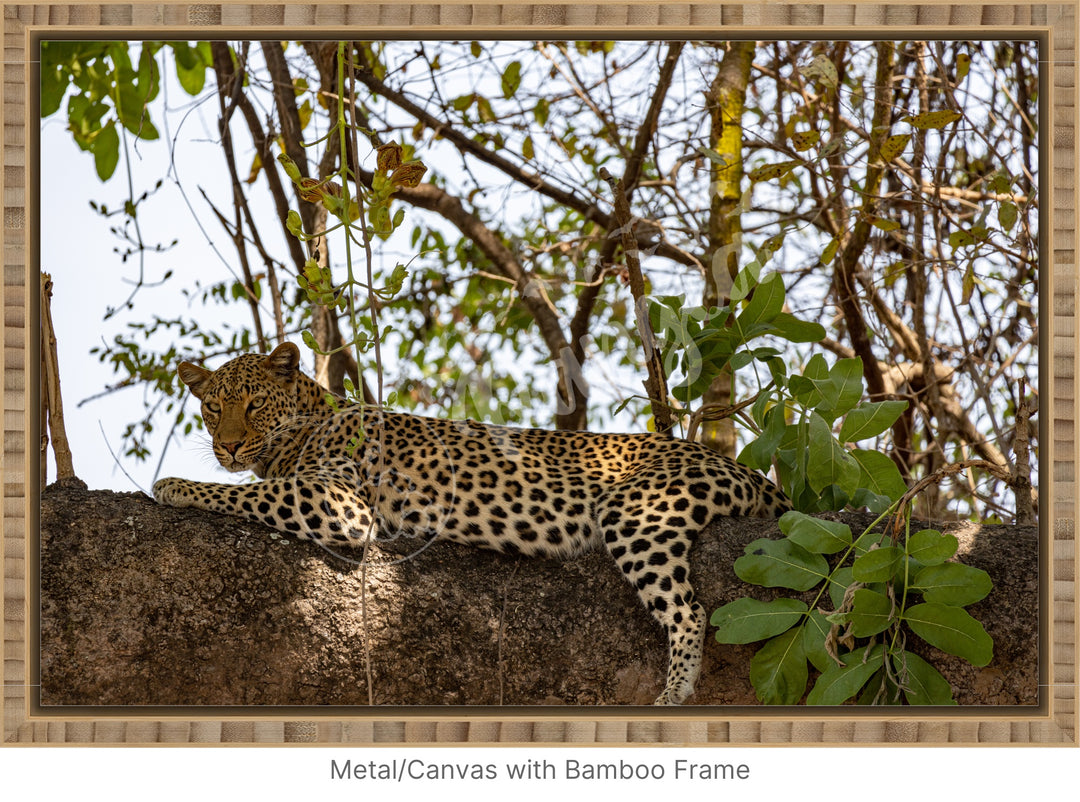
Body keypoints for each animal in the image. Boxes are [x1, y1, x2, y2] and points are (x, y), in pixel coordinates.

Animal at [152, 341, 790, 703]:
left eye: (253, 405)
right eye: (212, 407)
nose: (229, 446)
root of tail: (744, 469)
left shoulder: (339, 500)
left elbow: (251, 492)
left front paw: (172, 485)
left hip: (637, 510)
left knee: (690, 610)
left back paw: (675, 688)